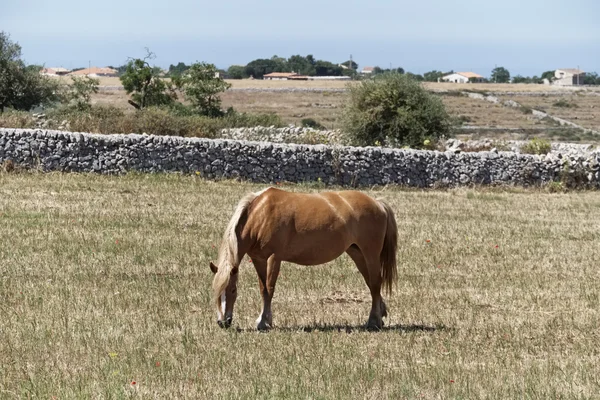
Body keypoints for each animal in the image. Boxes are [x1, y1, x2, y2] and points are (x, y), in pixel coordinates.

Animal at [211, 188, 398, 332]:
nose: (223, 322)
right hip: (357, 253)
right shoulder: (259, 259)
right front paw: (264, 320)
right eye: (215, 290)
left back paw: (373, 321)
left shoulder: (274, 258)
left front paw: (263, 322)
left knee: (375, 283)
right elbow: (262, 288)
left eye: (233, 290)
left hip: (370, 253)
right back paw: (380, 315)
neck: (259, 214)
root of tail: (378, 203)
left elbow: (269, 289)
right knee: (372, 284)